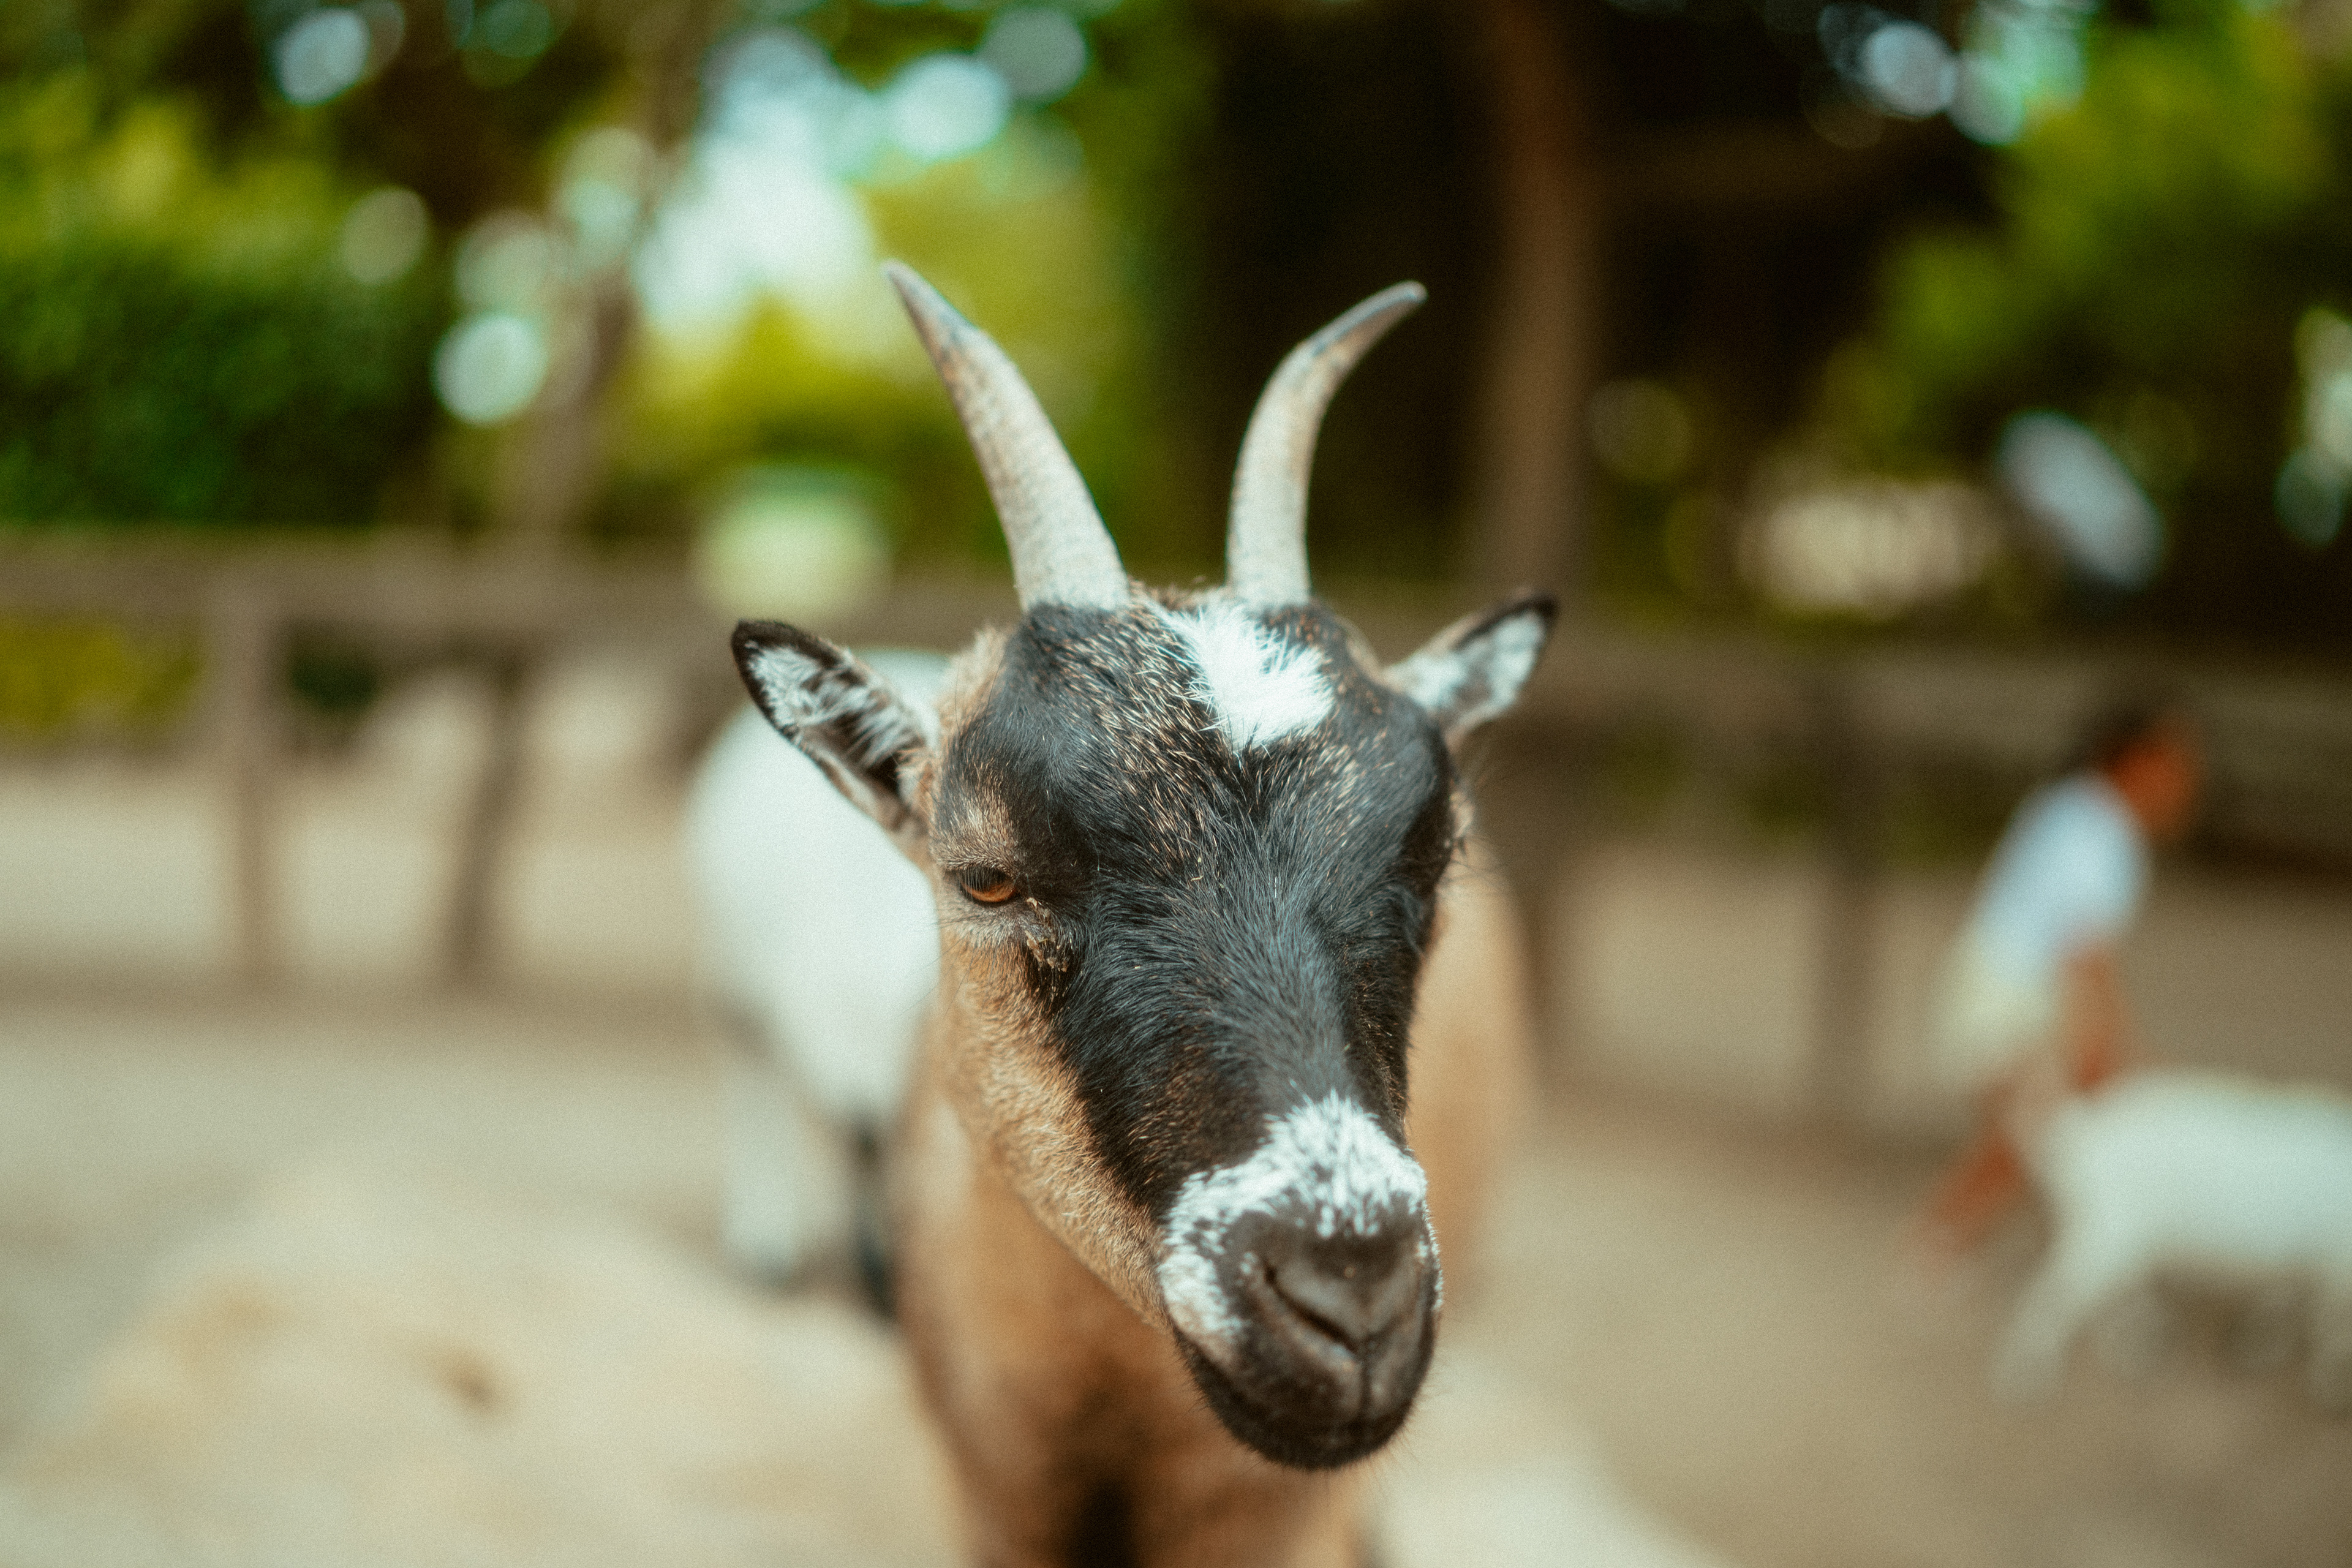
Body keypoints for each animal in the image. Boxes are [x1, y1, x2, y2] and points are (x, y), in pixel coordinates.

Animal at [1994, 1068, 2352, 1409]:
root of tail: (2083, 1131)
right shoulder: (2332, 1279)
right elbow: (2329, 1337)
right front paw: (2329, 1382)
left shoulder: (2305, 1268)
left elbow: (2285, 1308)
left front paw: (2264, 1342)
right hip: (2106, 1249)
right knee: (2045, 1304)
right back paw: (2025, 1372)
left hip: (2119, 1250)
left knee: (2111, 1299)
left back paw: (2137, 1338)